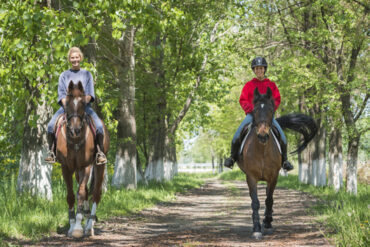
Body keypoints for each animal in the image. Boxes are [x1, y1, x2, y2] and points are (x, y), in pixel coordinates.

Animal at [55, 80, 110, 237]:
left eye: (83, 104)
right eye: (67, 104)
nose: (75, 130)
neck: (74, 141)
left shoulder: (86, 166)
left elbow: (80, 194)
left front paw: (78, 228)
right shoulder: (66, 167)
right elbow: (71, 196)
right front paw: (72, 226)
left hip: (99, 166)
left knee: (96, 194)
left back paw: (89, 226)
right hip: (78, 170)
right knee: (85, 190)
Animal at [237, 87, 318, 239]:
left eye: (270, 109)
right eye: (255, 110)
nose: (263, 136)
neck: (262, 150)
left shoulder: (273, 177)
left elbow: (269, 200)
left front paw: (268, 224)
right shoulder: (251, 177)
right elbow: (255, 202)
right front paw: (256, 229)